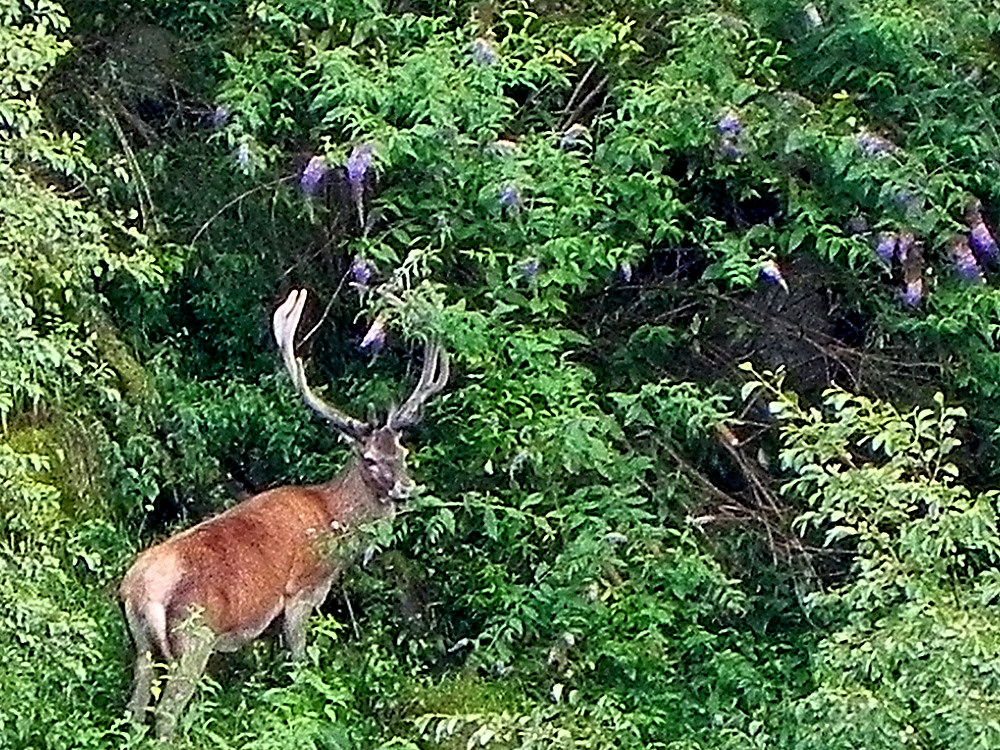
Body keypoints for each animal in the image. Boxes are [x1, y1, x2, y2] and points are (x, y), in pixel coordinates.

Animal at [117, 288, 450, 740]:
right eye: (368, 459)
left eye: (402, 451)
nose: (405, 488)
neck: (332, 520)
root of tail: (136, 590)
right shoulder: (303, 591)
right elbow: (299, 662)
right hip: (192, 636)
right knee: (165, 716)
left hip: (142, 648)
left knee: (132, 714)